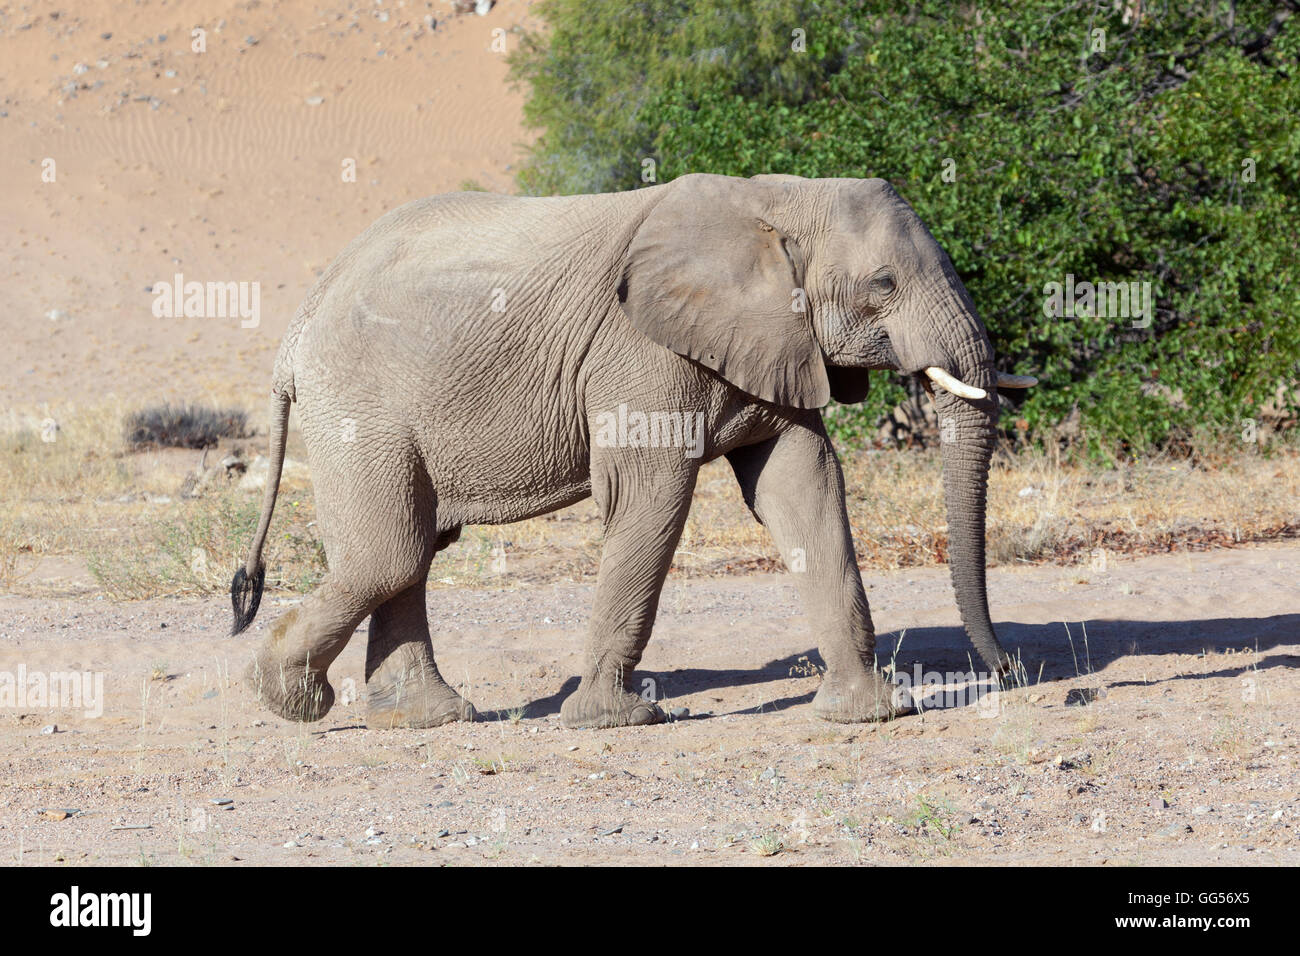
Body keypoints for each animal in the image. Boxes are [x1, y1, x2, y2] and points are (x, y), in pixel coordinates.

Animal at [230, 172, 1036, 730]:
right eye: (883, 283)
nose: (1009, 672)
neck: (777, 199)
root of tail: (297, 327)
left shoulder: (776, 341)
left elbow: (803, 488)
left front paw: (869, 713)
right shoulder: (642, 352)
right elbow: (653, 498)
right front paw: (617, 722)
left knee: (411, 554)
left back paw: (425, 720)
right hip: (359, 406)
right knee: (390, 555)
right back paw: (288, 698)